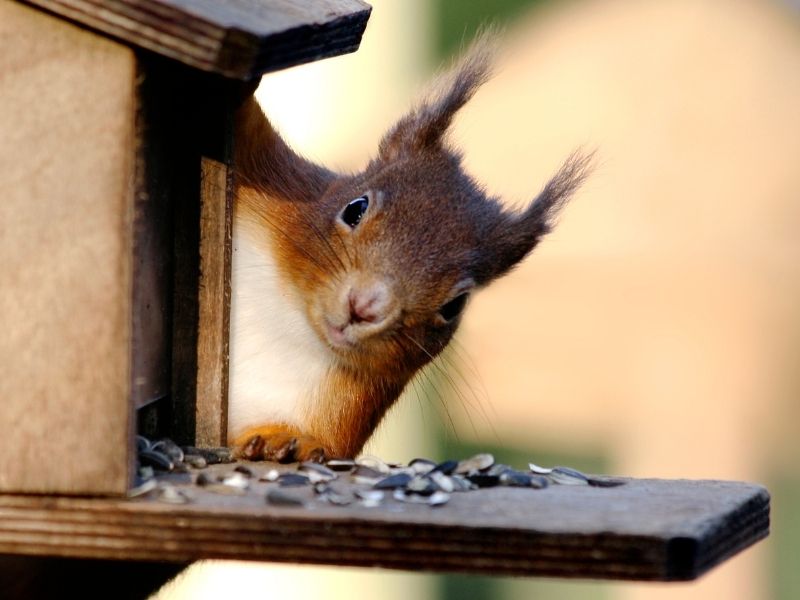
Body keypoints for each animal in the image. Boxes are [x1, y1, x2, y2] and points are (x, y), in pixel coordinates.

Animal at [228, 32, 592, 462]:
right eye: (355, 208)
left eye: (455, 305)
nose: (366, 307)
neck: (293, 320)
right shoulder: (276, 176)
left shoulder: (352, 406)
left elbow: (328, 444)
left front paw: (287, 440)